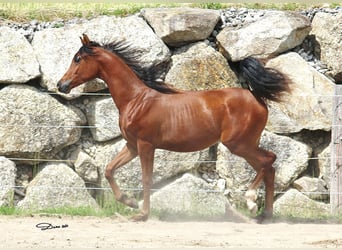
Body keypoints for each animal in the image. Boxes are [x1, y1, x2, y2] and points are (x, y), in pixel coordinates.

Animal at [57, 33, 290, 223]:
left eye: (77, 59)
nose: (61, 85)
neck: (135, 100)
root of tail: (257, 98)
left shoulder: (145, 145)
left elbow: (146, 178)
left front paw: (141, 214)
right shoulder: (131, 146)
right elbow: (109, 169)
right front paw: (129, 202)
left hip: (238, 144)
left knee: (268, 161)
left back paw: (251, 202)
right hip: (245, 145)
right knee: (268, 167)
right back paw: (265, 215)